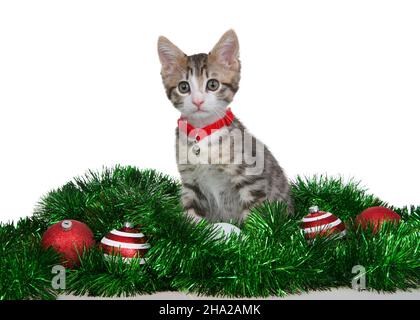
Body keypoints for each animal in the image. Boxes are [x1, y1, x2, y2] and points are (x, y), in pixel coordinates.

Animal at [158, 30, 292, 224]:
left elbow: (254, 217)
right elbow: (190, 215)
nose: (198, 101)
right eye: (183, 87)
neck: (202, 134)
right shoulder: (191, 183)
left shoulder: (251, 180)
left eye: (213, 84)